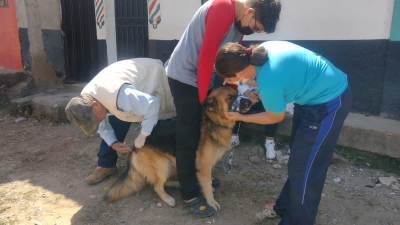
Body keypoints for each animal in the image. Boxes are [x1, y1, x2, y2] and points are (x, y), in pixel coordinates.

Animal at [104, 86, 239, 211]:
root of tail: (134, 148)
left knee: (165, 181)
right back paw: (167, 198)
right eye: (229, 98)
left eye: (237, 93)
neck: (212, 121)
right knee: (157, 186)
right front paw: (211, 202)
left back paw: (177, 184)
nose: (245, 101)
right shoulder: (204, 167)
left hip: (172, 163)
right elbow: (207, 186)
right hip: (162, 166)